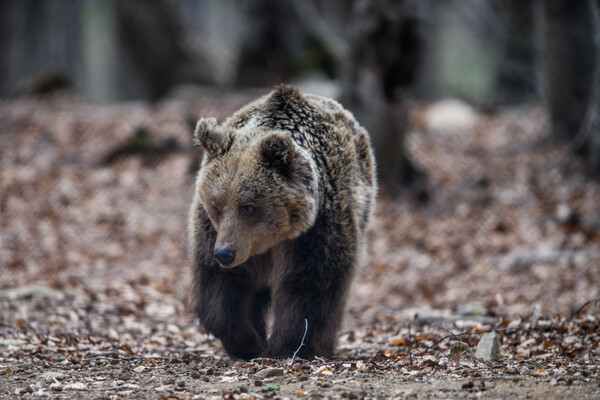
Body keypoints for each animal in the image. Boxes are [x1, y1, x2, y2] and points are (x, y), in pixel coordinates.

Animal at [188, 84, 376, 360]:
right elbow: (222, 286)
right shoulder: (215, 232)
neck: (271, 240)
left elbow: (309, 284)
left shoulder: (315, 229)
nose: (224, 253)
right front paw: (248, 341)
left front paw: (287, 346)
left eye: (248, 207)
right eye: (216, 206)